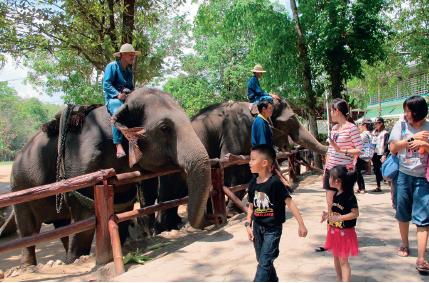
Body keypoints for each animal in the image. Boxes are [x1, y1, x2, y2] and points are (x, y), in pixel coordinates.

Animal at [9, 87, 211, 268]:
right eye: (164, 128)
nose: (203, 223)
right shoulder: (81, 166)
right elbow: (85, 216)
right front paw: (78, 260)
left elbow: (122, 207)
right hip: (19, 186)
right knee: (28, 230)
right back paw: (30, 266)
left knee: (61, 225)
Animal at [155, 98, 326, 232]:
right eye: (290, 120)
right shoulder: (236, 132)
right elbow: (233, 165)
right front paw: (231, 213)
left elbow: (248, 171)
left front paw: (233, 210)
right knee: (169, 192)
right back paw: (165, 228)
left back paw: (172, 226)